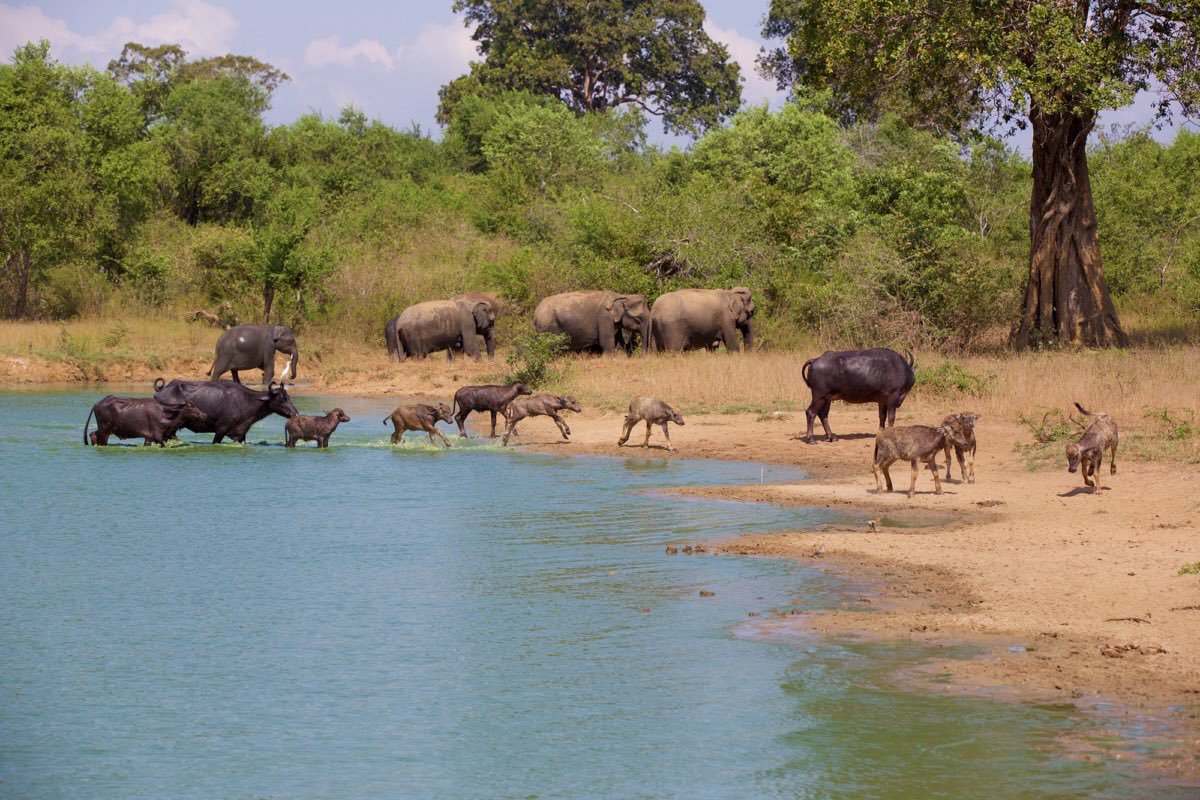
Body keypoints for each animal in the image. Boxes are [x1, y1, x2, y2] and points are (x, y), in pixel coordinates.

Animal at [153, 376, 298, 441]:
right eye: (282, 398)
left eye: (288, 396)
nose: (294, 413)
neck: (246, 401)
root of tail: (161, 390)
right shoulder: (220, 430)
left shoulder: (241, 435)